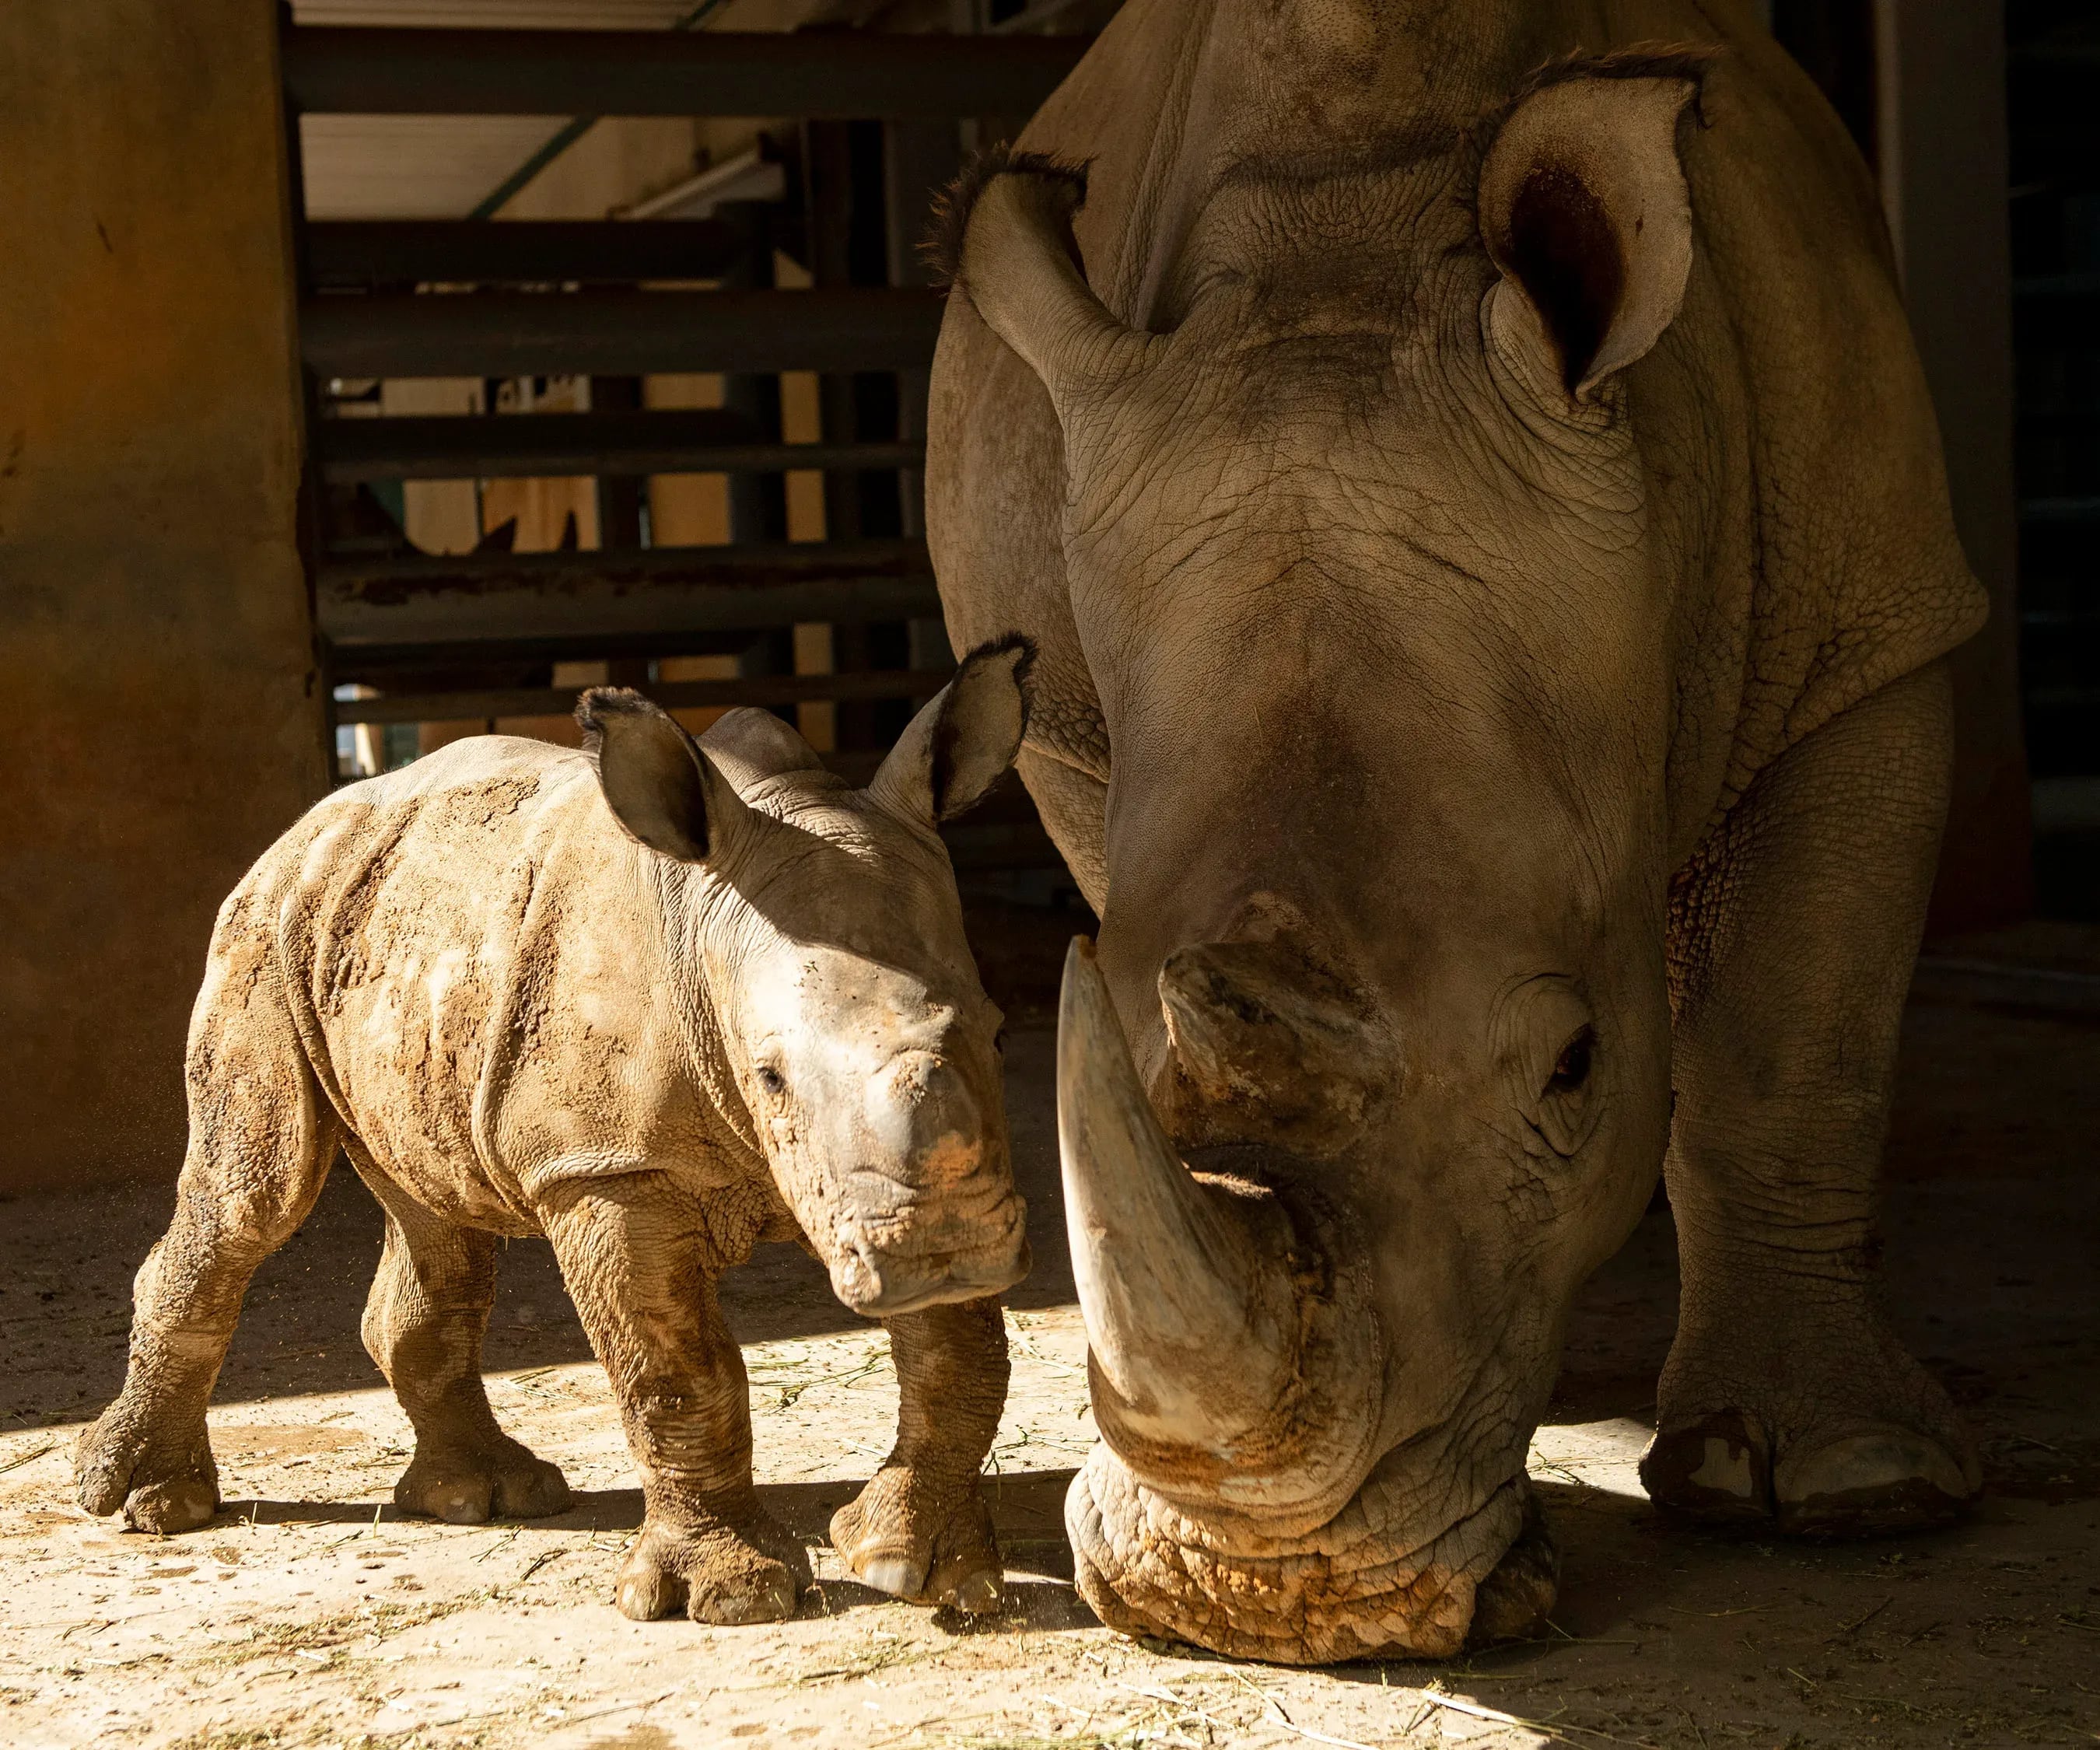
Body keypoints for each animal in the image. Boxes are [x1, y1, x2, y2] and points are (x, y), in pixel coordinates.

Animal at [75, 643, 1034, 1624]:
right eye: (769, 1076)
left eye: (1001, 1034)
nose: (944, 1251)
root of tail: (311, 825)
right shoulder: (605, 1167)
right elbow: (674, 1371)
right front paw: (730, 1597)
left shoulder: (916, 1164)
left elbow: (956, 1353)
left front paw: (918, 1568)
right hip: (262, 933)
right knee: (254, 1196)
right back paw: (148, 1504)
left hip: (393, 951)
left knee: (434, 1216)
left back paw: (487, 1498)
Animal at [926, 0, 1987, 1663]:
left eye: (1573, 1068)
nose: (1262, 1603)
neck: (1354, 246)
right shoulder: (1081, 724)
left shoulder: (1871, 634)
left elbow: (1793, 1045)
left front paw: (1850, 1485)